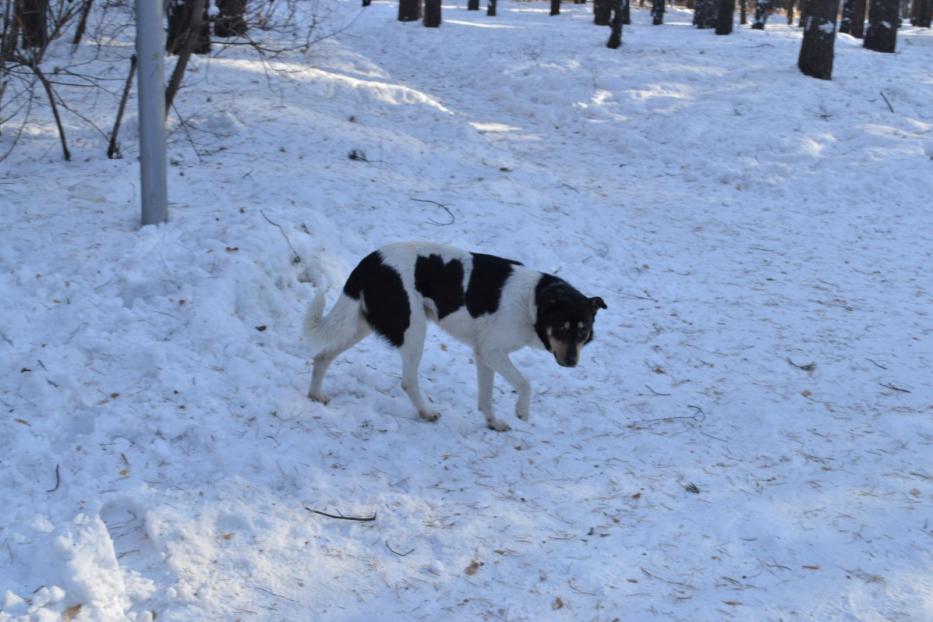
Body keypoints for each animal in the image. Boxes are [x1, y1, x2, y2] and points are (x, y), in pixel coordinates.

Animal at [304, 244, 604, 434]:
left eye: (583, 332)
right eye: (562, 328)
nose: (571, 362)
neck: (533, 302)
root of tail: (370, 262)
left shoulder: (483, 355)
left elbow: (486, 397)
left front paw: (493, 423)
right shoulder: (493, 352)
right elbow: (525, 384)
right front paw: (521, 412)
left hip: (361, 325)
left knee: (321, 356)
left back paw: (315, 394)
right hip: (413, 329)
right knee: (408, 380)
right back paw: (426, 412)